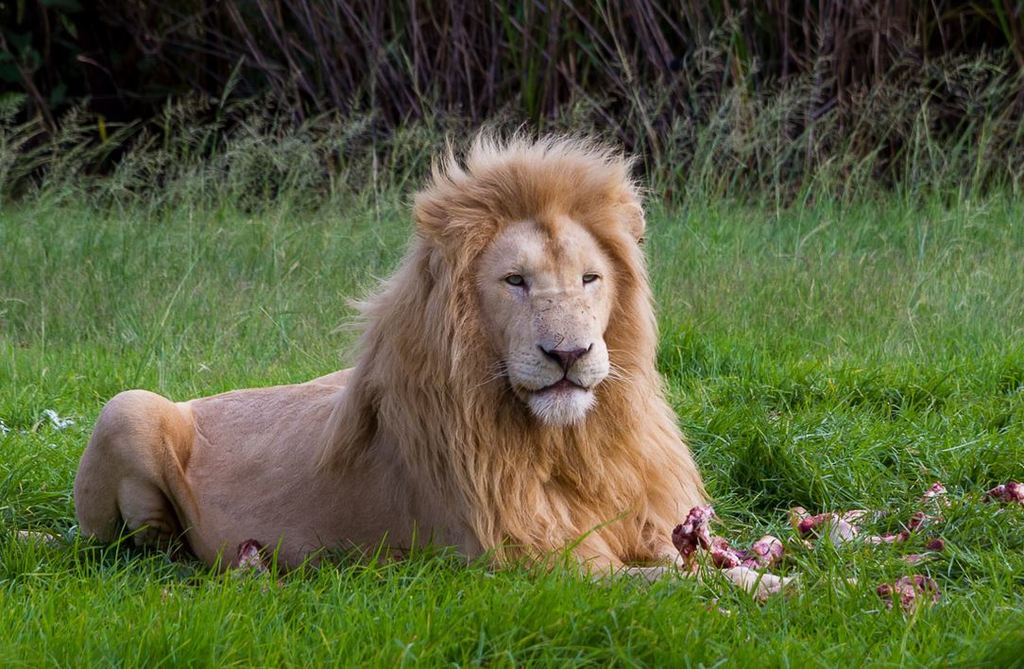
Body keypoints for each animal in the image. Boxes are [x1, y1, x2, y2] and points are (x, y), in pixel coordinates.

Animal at [73, 134, 707, 575]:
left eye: (590, 279)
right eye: (515, 281)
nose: (569, 353)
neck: (574, 444)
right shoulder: (532, 564)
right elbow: (672, 590)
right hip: (126, 408)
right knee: (149, 548)